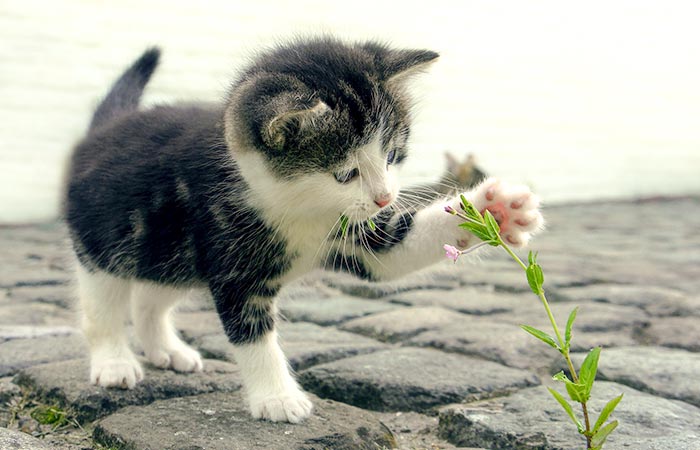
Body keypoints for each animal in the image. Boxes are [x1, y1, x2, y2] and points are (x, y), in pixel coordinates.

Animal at [64, 37, 548, 422]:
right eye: (345, 174)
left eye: (392, 155)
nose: (385, 198)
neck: (298, 208)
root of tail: (103, 130)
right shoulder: (233, 260)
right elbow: (253, 334)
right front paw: (277, 398)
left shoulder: (357, 234)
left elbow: (393, 252)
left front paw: (497, 210)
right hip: (105, 243)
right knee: (103, 306)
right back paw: (114, 361)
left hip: (171, 252)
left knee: (150, 295)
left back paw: (166, 349)